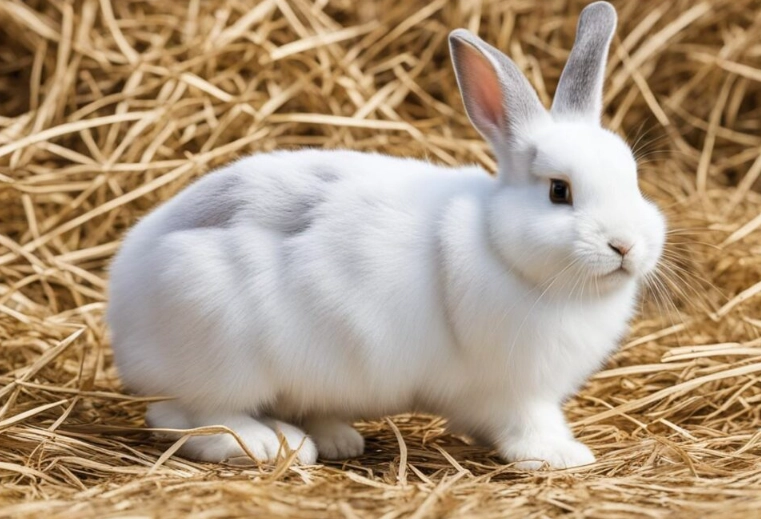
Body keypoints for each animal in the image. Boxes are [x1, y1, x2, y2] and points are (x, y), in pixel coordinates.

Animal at [107, 1, 665, 469]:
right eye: (558, 191)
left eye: (634, 179)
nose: (625, 246)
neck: (499, 246)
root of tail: (123, 299)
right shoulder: (514, 391)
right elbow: (529, 424)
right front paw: (563, 455)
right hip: (222, 355)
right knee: (187, 418)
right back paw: (273, 445)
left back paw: (336, 437)